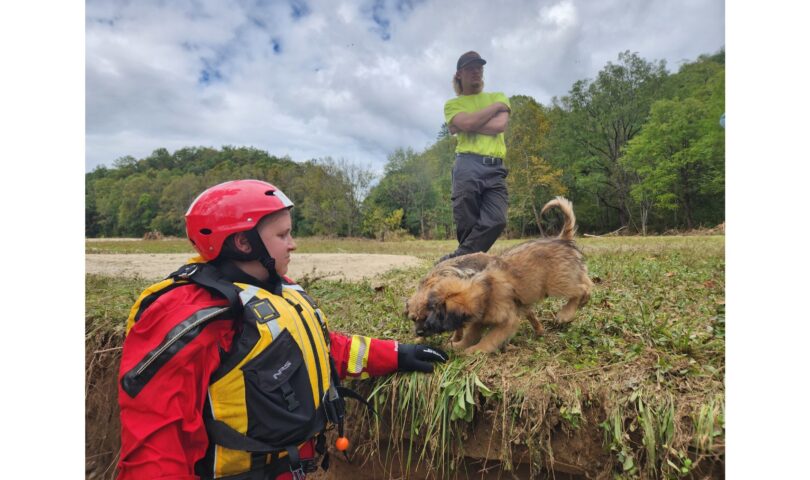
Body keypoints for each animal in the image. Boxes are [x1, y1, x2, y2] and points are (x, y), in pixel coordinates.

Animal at [408, 197, 592, 354]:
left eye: (435, 314)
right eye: (414, 318)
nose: (419, 332)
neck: (486, 290)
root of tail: (562, 239)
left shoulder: (507, 322)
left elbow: (490, 338)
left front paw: (475, 350)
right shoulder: (479, 321)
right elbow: (470, 335)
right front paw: (457, 345)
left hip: (557, 283)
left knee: (580, 289)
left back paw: (566, 313)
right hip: (566, 275)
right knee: (586, 282)